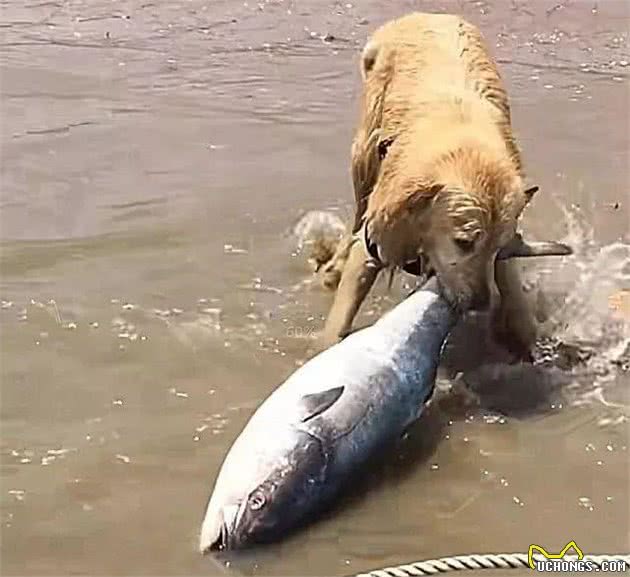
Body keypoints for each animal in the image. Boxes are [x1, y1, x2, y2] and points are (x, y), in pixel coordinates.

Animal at [320, 12, 572, 356]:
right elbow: (337, 322)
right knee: (356, 215)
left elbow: (517, 303)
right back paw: (333, 267)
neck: (463, 148)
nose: (480, 304)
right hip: (362, 156)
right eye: (463, 242)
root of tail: (422, 14)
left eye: (497, 246)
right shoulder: (376, 237)